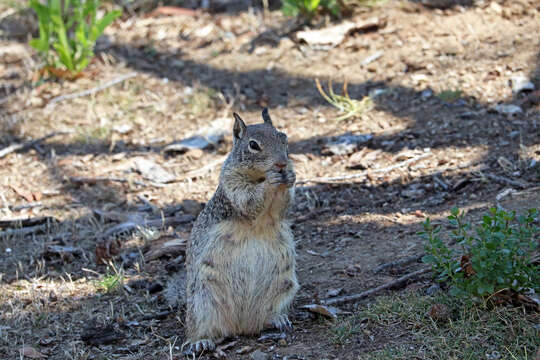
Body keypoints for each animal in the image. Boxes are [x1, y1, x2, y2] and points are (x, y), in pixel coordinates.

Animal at [171, 108, 300, 352]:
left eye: (284, 138)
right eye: (253, 145)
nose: (281, 164)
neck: (257, 176)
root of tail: (241, 326)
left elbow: (283, 205)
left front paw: (290, 176)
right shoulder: (232, 187)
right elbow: (249, 200)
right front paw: (270, 181)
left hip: (284, 286)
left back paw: (277, 319)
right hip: (203, 302)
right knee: (201, 328)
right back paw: (200, 342)